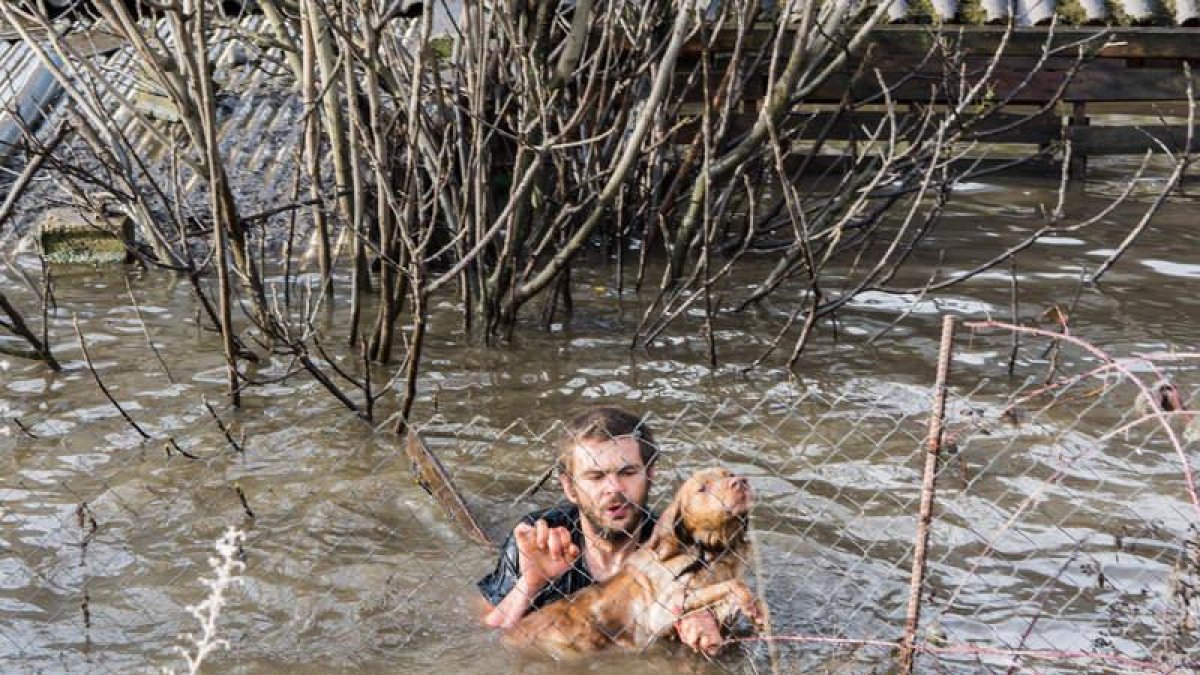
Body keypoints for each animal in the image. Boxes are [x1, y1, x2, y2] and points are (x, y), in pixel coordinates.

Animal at [501, 468, 763, 658]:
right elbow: (733, 586)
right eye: (702, 488)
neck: (713, 553)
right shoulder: (666, 607)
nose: (741, 481)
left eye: (729, 474)